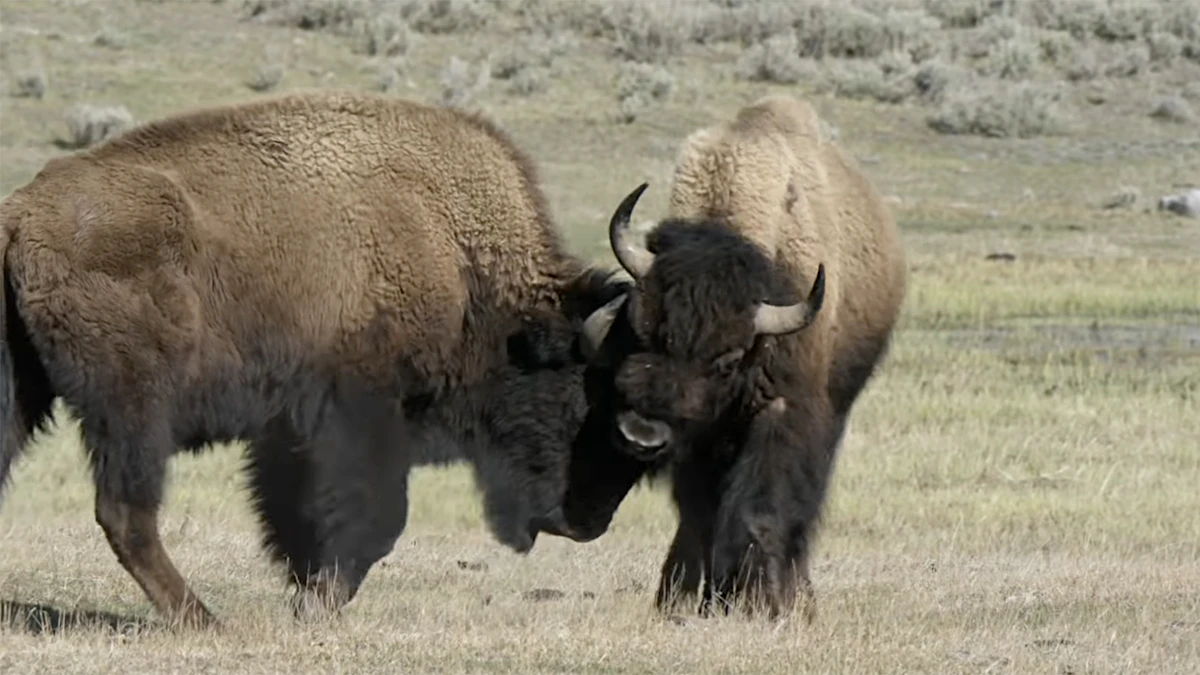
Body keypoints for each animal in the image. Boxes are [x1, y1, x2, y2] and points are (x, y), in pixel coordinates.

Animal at [0, 92, 627, 628]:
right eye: (578, 396)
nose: (587, 521)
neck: (453, 248)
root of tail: (20, 215)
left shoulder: (291, 431)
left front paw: (306, 591)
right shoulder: (361, 414)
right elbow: (376, 517)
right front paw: (318, 603)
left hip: (26, 392)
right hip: (133, 406)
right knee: (127, 511)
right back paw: (203, 621)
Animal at [565, 95, 908, 621]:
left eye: (726, 360)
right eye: (641, 329)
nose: (641, 434)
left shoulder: (780, 415)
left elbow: (759, 510)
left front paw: (762, 602)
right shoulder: (697, 441)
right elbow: (698, 512)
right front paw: (683, 597)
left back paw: (795, 597)